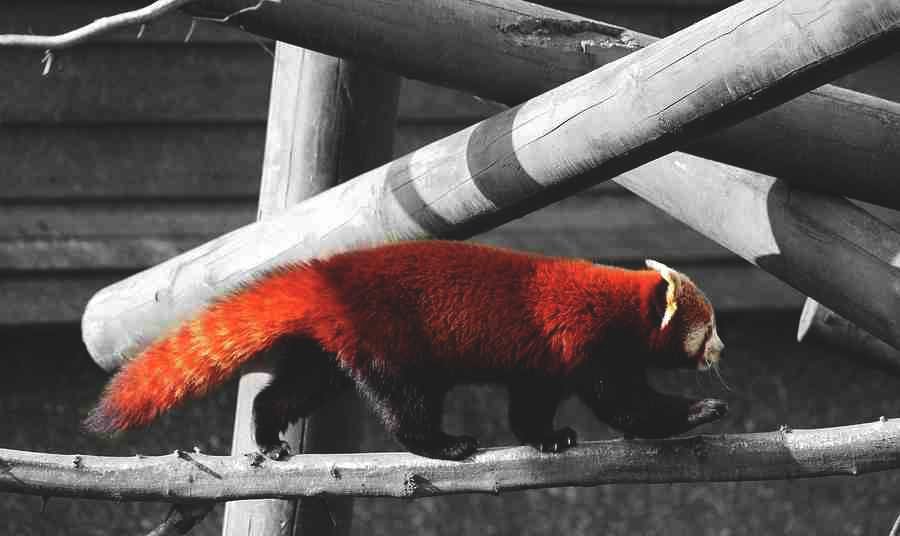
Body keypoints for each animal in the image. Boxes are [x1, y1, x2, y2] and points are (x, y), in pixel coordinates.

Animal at [88, 241, 728, 458]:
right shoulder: (584, 342)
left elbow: (532, 404)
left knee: (294, 389)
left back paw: (267, 436)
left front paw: (546, 437)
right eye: (710, 327)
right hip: (390, 338)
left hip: (332, 345)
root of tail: (329, 275)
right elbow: (624, 403)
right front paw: (700, 410)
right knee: (405, 402)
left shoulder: (542, 358)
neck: (617, 303)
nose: (723, 349)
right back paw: (440, 444)